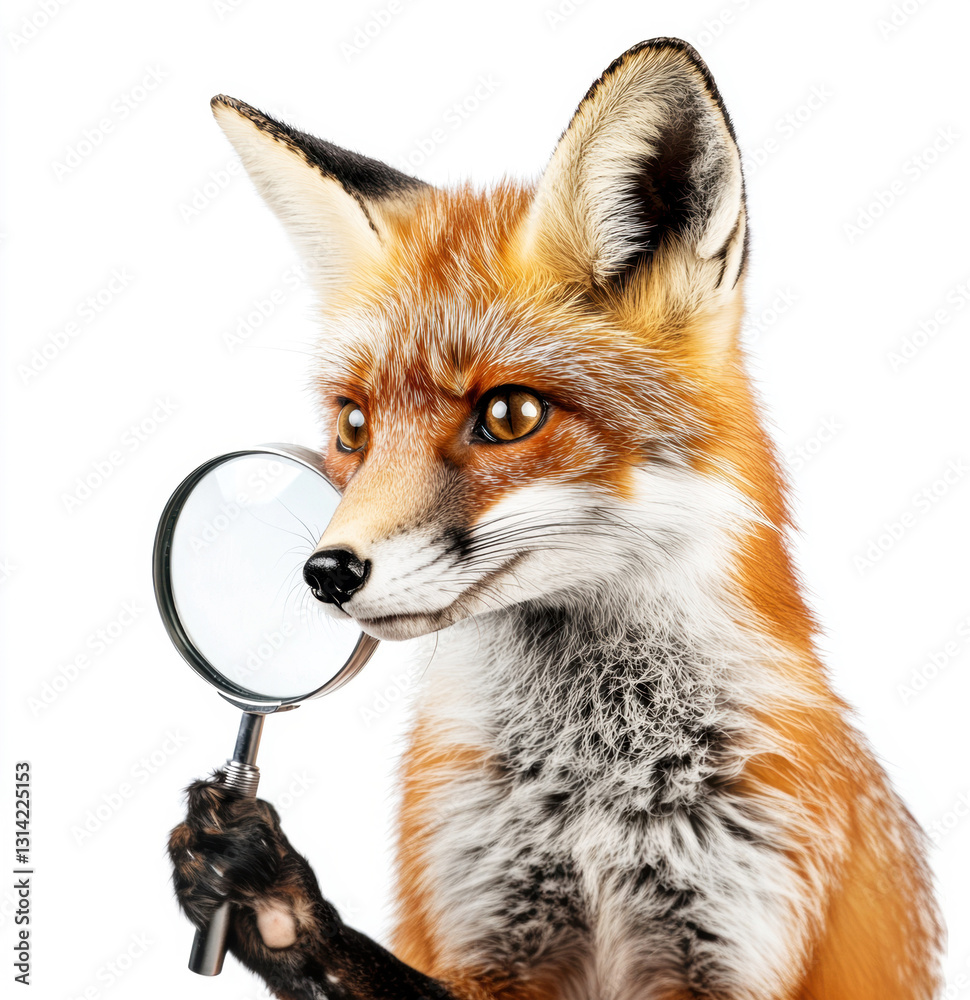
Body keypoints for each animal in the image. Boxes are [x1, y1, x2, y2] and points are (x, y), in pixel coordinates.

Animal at [169, 37, 944, 1000]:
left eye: (510, 415)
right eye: (353, 427)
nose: (328, 573)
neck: (595, 787)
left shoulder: (738, 934)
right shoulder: (485, 928)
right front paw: (271, 902)